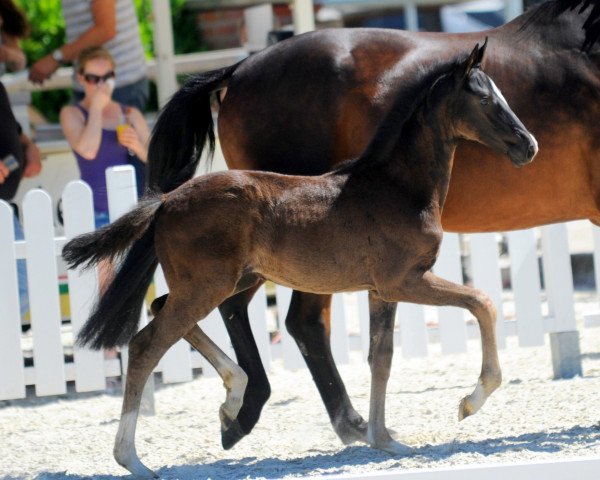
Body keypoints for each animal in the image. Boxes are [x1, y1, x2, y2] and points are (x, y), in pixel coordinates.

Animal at [143, 0, 596, 450]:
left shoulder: (382, 289)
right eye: (485, 99)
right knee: (248, 317)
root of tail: (238, 69)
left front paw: (385, 435)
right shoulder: (405, 279)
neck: (397, 184)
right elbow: (482, 302)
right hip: (239, 277)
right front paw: (471, 400)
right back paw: (247, 411)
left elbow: (382, 355)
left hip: (246, 275)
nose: (529, 146)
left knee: (191, 310)